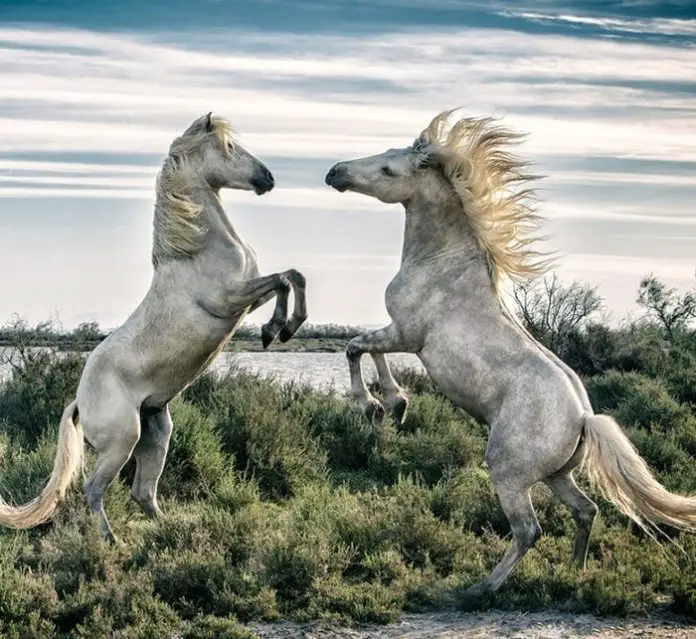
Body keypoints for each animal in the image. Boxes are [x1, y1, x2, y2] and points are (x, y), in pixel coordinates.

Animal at [0, 113, 307, 542]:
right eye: (229, 148)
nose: (268, 178)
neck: (195, 249)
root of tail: (78, 402)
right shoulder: (229, 299)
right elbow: (284, 279)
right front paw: (278, 329)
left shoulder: (247, 300)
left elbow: (290, 278)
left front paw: (280, 328)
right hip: (122, 442)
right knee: (93, 489)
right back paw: (111, 541)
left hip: (156, 433)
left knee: (142, 492)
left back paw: (170, 532)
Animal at [325, 109, 696, 597]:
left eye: (388, 169)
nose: (335, 172)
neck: (443, 265)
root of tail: (583, 418)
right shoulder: (399, 334)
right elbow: (364, 350)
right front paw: (395, 406)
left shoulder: (406, 334)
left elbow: (356, 348)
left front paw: (381, 405)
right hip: (557, 475)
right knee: (586, 510)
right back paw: (572, 573)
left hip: (509, 472)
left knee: (528, 530)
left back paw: (481, 588)